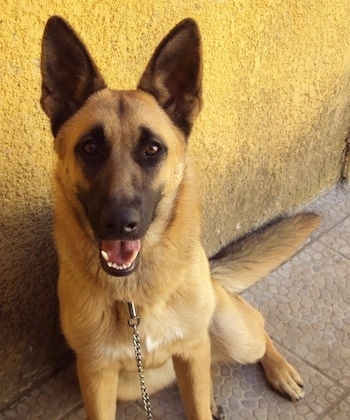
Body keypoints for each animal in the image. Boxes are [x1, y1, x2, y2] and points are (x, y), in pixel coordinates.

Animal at [39, 17, 322, 420]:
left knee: (258, 331)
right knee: (209, 367)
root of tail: (214, 277)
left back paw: (279, 370)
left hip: (235, 334)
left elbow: (196, 399)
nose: (119, 223)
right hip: (131, 384)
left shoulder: (190, 350)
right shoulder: (97, 376)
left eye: (153, 149)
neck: (134, 298)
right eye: (90, 148)